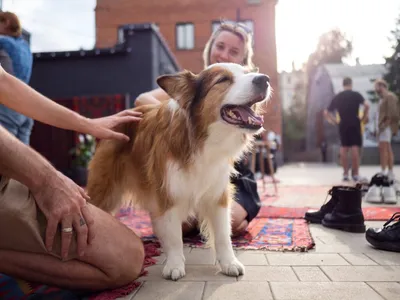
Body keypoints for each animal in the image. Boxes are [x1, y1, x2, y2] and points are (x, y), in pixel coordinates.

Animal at [86, 63, 270, 282]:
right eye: (223, 80)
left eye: (248, 72)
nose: (264, 79)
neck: (202, 140)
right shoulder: (168, 194)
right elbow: (174, 237)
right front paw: (174, 264)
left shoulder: (217, 195)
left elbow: (223, 234)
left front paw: (229, 263)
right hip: (105, 191)